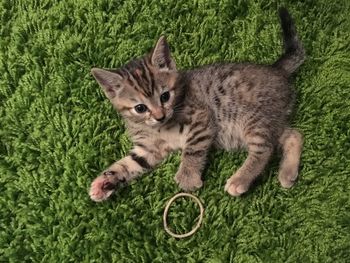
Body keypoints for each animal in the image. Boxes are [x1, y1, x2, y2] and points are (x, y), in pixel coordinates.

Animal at [89, 7, 304, 202]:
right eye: (140, 108)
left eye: (165, 96)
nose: (160, 116)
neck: (158, 128)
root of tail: (277, 69)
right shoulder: (150, 149)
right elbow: (128, 164)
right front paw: (105, 182)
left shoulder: (201, 117)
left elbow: (193, 148)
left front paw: (187, 177)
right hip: (270, 120)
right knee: (293, 134)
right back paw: (287, 173)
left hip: (253, 119)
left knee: (265, 148)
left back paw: (240, 180)